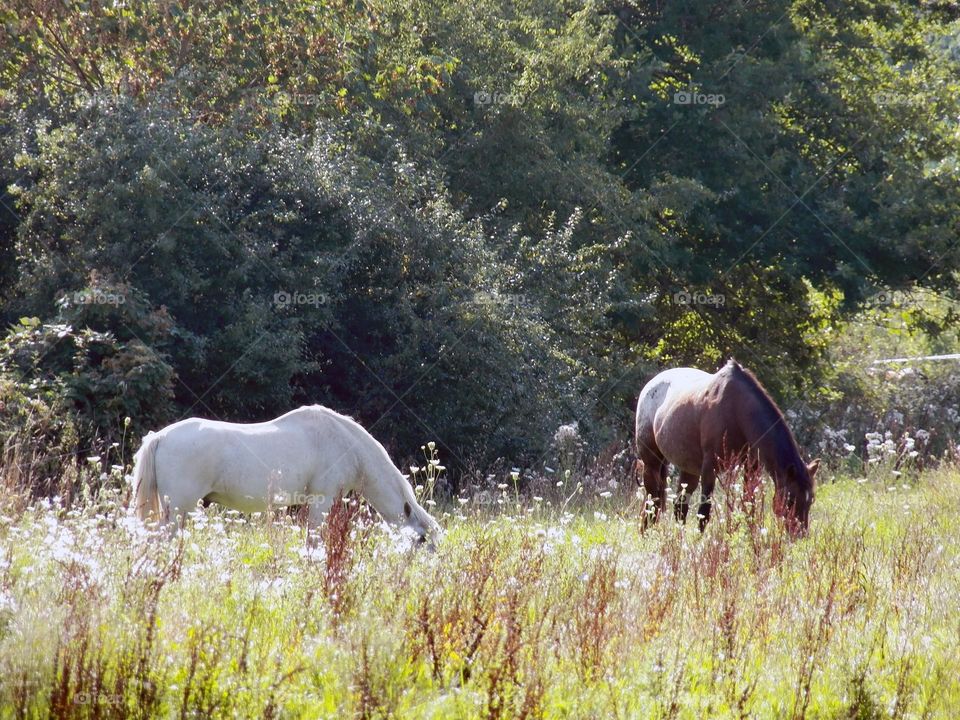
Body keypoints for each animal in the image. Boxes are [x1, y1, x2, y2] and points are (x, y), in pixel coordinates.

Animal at [130, 405, 441, 544]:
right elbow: (314, 540)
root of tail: (160, 437)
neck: (346, 444)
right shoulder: (321, 501)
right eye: (422, 539)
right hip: (177, 509)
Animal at [635, 359, 819, 536]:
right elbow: (704, 512)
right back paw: (646, 534)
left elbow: (748, 505)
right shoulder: (709, 467)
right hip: (652, 462)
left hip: (689, 468)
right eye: (791, 500)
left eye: (811, 500)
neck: (737, 410)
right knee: (652, 502)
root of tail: (651, 383)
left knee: (679, 506)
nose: (800, 535)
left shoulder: (752, 466)